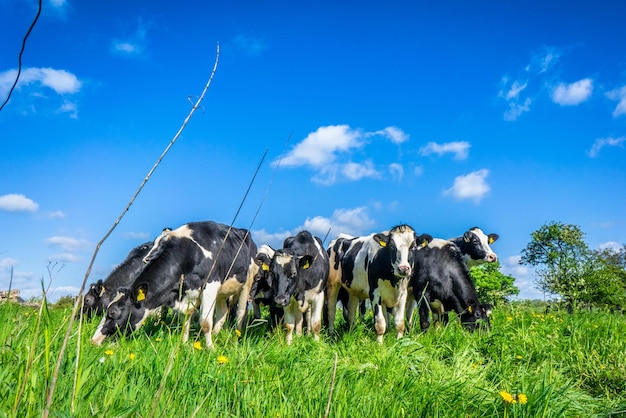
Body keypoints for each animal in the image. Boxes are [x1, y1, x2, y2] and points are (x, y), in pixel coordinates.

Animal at [91, 220, 256, 348]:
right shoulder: (186, 294)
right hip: (223, 291)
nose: (93, 341)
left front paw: (210, 349)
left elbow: (205, 322)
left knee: (240, 313)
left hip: (247, 282)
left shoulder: (210, 286)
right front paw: (185, 344)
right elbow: (185, 320)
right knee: (223, 312)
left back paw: (236, 337)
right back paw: (216, 334)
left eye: (113, 313)